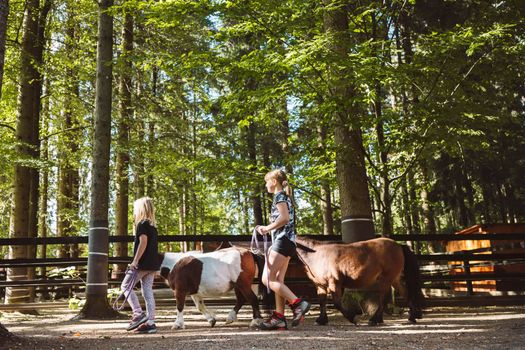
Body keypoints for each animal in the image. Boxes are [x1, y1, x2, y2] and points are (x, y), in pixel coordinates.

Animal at [292, 237, 424, 326]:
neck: (317, 255)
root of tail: (399, 246)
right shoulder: (320, 286)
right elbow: (322, 302)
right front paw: (321, 320)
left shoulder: (334, 283)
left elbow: (337, 303)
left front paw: (352, 318)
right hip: (394, 279)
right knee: (405, 294)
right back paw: (412, 317)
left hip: (386, 280)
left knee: (383, 299)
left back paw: (374, 320)